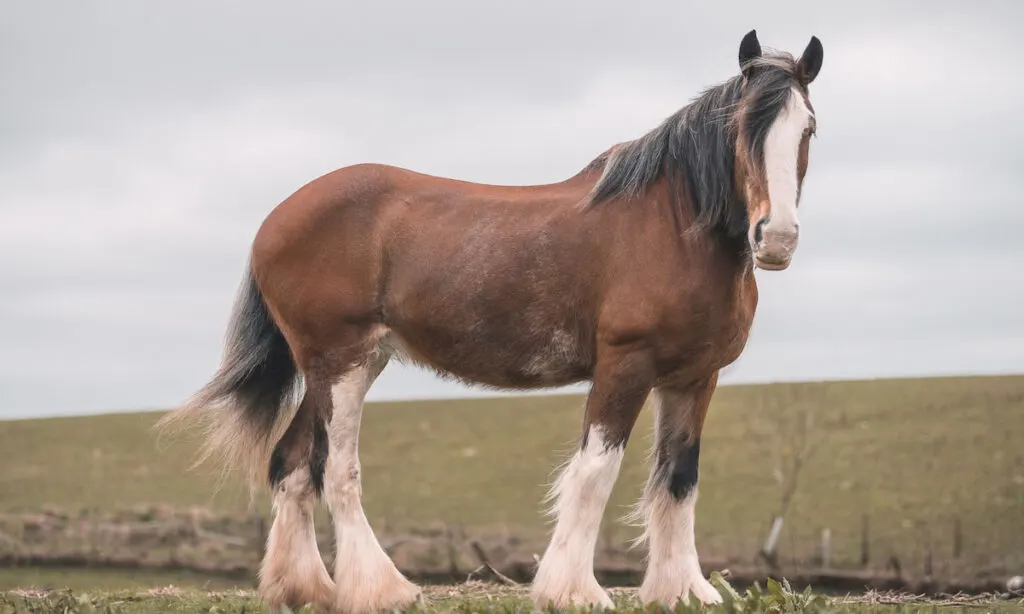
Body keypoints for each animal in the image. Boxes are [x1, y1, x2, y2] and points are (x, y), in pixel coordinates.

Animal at [159, 27, 823, 614]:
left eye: (808, 128)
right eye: (741, 127)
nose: (777, 238)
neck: (673, 226)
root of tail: (276, 219)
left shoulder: (693, 377)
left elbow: (679, 478)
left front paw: (683, 590)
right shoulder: (625, 366)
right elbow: (595, 473)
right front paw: (573, 591)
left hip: (344, 364)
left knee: (293, 464)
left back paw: (305, 590)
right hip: (339, 362)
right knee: (337, 470)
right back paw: (381, 590)